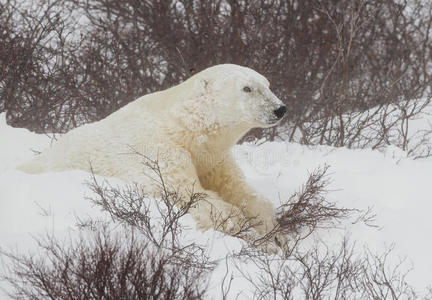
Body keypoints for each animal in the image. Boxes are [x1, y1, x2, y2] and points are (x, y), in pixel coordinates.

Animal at [18, 63, 286, 244]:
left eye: (267, 84)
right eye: (247, 88)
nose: (280, 108)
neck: (182, 127)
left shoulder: (212, 158)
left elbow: (238, 189)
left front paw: (273, 230)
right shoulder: (157, 153)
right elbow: (188, 195)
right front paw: (251, 233)